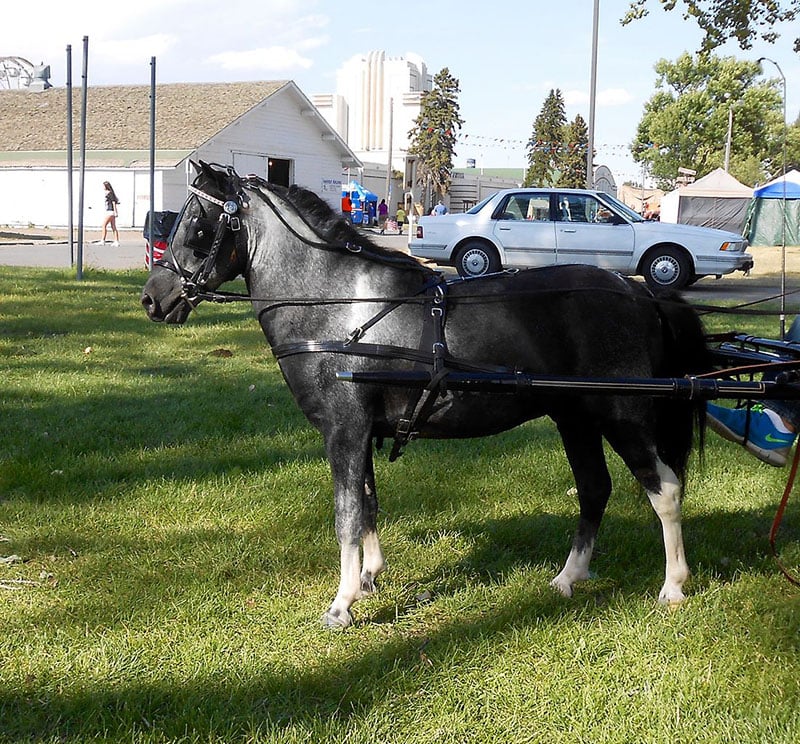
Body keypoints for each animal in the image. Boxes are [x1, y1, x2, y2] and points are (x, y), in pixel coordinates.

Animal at [141, 161, 709, 628]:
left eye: (197, 226)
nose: (153, 298)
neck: (334, 305)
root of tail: (640, 292)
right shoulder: (361, 433)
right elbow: (369, 504)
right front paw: (368, 579)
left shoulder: (344, 431)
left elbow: (346, 515)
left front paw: (341, 604)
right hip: (576, 419)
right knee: (595, 490)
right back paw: (568, 578)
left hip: (623, 415)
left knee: (665, 489)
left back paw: (673, 586)